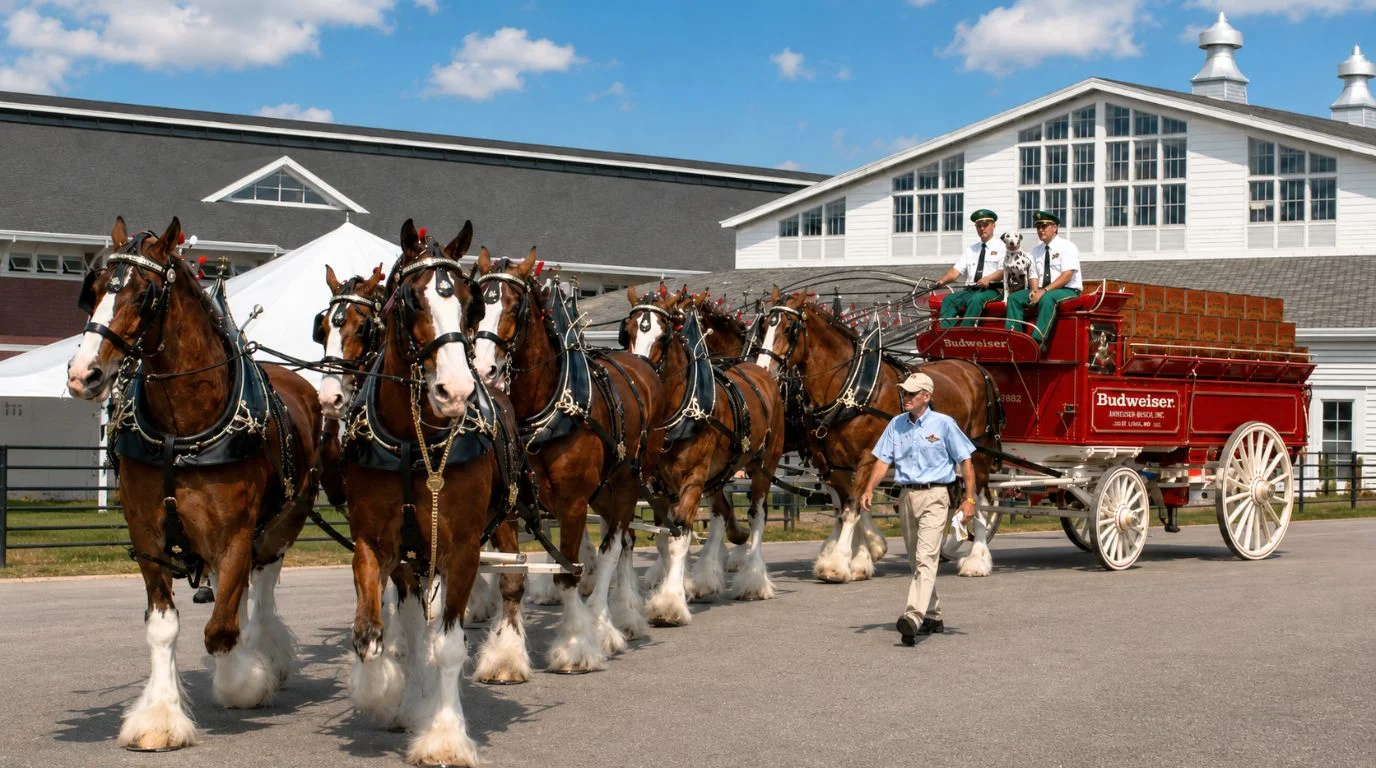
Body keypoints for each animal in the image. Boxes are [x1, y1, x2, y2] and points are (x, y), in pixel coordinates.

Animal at [65, 216, 322, 751]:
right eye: (93, 290)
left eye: (144, 295)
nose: (84, 374)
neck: (180, 430)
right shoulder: (147, 534)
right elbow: (164, 627)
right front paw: (159, 718)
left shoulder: (236, 533)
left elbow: (221, 629)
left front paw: (245, 680)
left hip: (283, 521)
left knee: (261, 586)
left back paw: (267, 654)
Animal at [336, 219, 520, 766]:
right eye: (411, 301)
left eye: (471, 304)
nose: (455, 392)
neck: (412, 443)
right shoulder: (378, 543)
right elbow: (372, 634)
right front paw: (386, 694)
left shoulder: (460, 550)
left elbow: (449, 646)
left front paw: (443, 733)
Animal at [468, 247, 668, 678]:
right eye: (476, 307)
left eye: (515, 306)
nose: (486, 370)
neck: (539, 413)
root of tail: (638, 364)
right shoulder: (510, 508)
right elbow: (512, 579)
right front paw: (505, 656)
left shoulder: (573, 505)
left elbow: (568, 574)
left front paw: (576, 646)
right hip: (605, 494)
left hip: (627, 485)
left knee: (614, 550)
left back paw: (608, 624)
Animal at [622, 286, 786, 620]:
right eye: (628, 331)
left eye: (663, 336)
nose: (639, 375)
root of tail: (761, 372)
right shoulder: (658, 485)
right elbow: (664, 538)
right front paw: (674, 583)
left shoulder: (693, 479)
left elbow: (679, 537)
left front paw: (670, 602)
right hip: (720, 474)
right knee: (722, 512)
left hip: (764, 465)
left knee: (757, 515)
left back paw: (753, 580)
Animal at [753, 287, 1001, 582]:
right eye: (765, 326)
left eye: (789, 328)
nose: (762, 371)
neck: (851, 389)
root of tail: (977, 368)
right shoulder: (831, 465)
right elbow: (849, 507)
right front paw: (862, 557)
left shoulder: (867, 459)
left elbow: (851, 510)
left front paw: (838, 563)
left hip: (980, 453)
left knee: (982, 501)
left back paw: (977, 560)